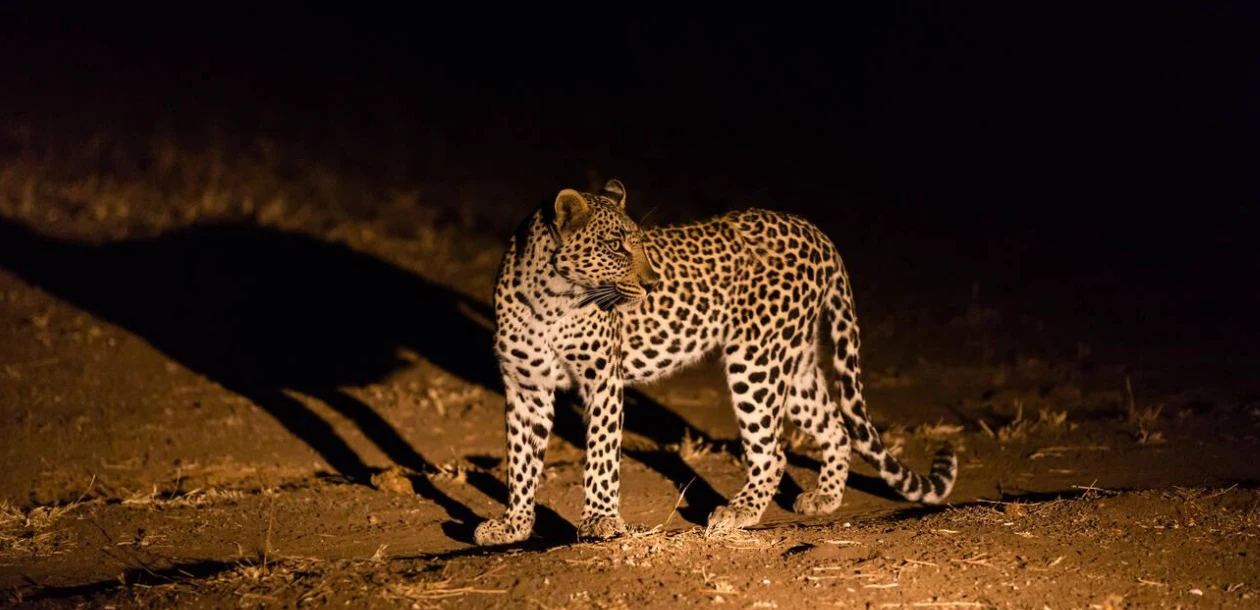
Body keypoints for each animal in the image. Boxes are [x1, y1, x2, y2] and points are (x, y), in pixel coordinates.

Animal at [472, 178, 957, 546]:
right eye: (616, 246)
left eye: (641, 245)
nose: (653, 283)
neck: (550, 299)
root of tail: (815, 230)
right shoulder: (526, 387)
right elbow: (520, 460)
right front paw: (514, 526)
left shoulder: (603, 380)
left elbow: (602, 453)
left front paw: (600, 520)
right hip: (794, 357)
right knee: (835, 427)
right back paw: (823, 499)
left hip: (756, 358)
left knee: (773, 451)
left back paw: (739, 511)